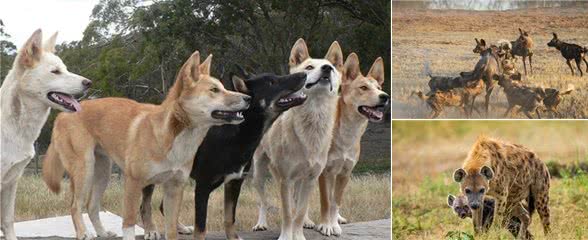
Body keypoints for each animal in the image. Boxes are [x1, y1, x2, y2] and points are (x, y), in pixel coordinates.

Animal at [42, 51, 250, 240]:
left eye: (223, 87)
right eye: (214, 90)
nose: (247, 98)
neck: (173, 137)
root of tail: (63, 114)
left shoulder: (175, 188)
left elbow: (171, 230)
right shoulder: (133, 183)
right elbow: (129, 223)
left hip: (103, 172)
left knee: (91, 206)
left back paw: (103, 233)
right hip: (84, 170)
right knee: (75, 206)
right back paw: (84, 233)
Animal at [141, 70, 308, 239]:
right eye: (271, 82)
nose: (303, 74)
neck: (237, 133)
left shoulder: (234, 182)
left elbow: (229, 218)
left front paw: (233, 237)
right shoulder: (203, 187)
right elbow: (201, 228)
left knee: (163, 207)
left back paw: (181, 228)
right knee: (145, 205)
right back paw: (151, 231)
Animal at [250, 39, 342, 240]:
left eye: (331, 67)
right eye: (309, 67)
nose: (326, 69)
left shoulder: (310, 179)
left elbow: (299, 212)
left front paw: (298, 234)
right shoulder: (285, 180)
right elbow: (287, 212)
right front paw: (286, 235)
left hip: (301, 180)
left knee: (298, 204)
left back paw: (307, 221)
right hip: (258, 173)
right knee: (263, 201)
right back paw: (261, 223)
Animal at [314, 53, 388, 235]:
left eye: (378, 87)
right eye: (363, 87)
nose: (385, 96)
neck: (347, 134)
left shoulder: (345, 173)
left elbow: (335, 202)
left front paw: (334, 224)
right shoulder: (325, 172)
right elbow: (326, 201)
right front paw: (325, 225)